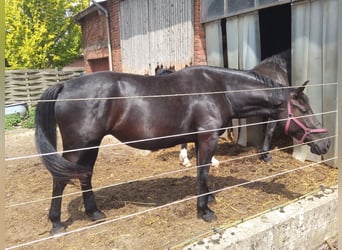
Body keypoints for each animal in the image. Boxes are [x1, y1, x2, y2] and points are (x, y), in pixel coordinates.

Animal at [34, 65, 328, 233]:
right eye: (302, 109)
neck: (219, 89)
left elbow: (202, 172)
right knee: (61, 179)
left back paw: (94, 213)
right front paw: (205, 211)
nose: (325, 143)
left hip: (90, 145)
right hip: (79, 144)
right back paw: (56, 223)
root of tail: (65, 85)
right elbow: (203, 172)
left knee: (84, 175)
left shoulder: (200, 140)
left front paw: (209, 199)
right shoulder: (207, 139)